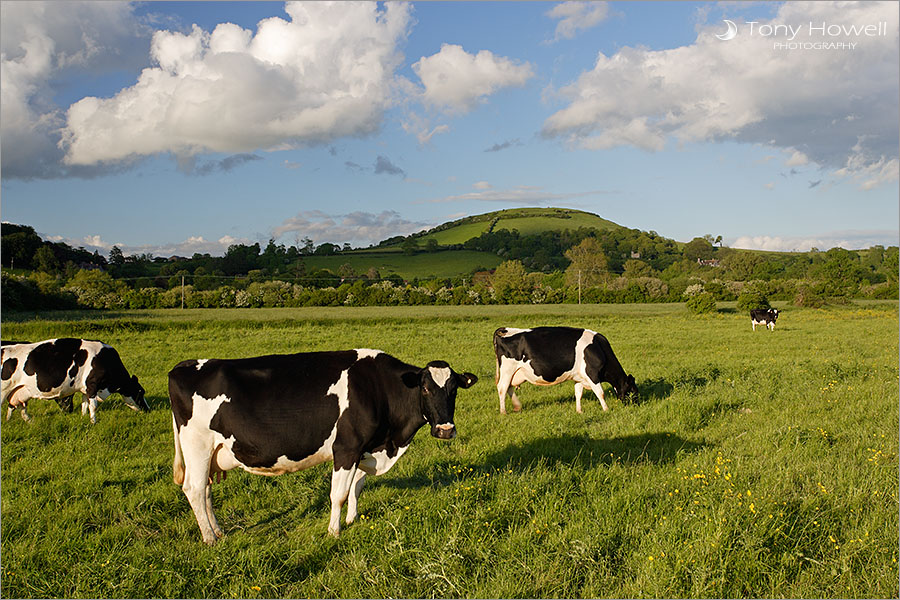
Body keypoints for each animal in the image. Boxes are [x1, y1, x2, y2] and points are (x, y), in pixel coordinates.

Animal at [0, 338, 148, 422]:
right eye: (141, 391)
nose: (148, 409)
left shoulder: (85, 388)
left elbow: (85, 404)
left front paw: (83, 418)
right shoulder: (92, 385)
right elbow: (93, 405)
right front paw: (93, 422)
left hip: (19, 392)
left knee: (17, 408)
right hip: (3, 390)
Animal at [169, 346, 478, 544]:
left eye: (454, 390)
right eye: (425, 388)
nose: (445, 430)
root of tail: (185, 365)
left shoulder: (363, 449)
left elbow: (356, 487)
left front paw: (352, 520)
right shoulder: (347, 448)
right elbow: (338, 494)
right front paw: (334, 531)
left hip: (211, 453)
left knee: (206, 491)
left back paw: (218, 531)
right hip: (197, 445)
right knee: (194, 489)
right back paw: (209, 538)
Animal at [492, 326, 640, 414]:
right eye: (633, 391)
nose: (638, 405)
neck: (599, 348)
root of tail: (504, 330)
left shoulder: (579, 377)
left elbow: (578, 393)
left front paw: (579, 411)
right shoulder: (592, 374)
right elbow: (600, 393)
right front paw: (606, 409)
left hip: (514, 373)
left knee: (509, 388)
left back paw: (517, 406)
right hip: (507, 370)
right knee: (502, 388)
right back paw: (503, 412)